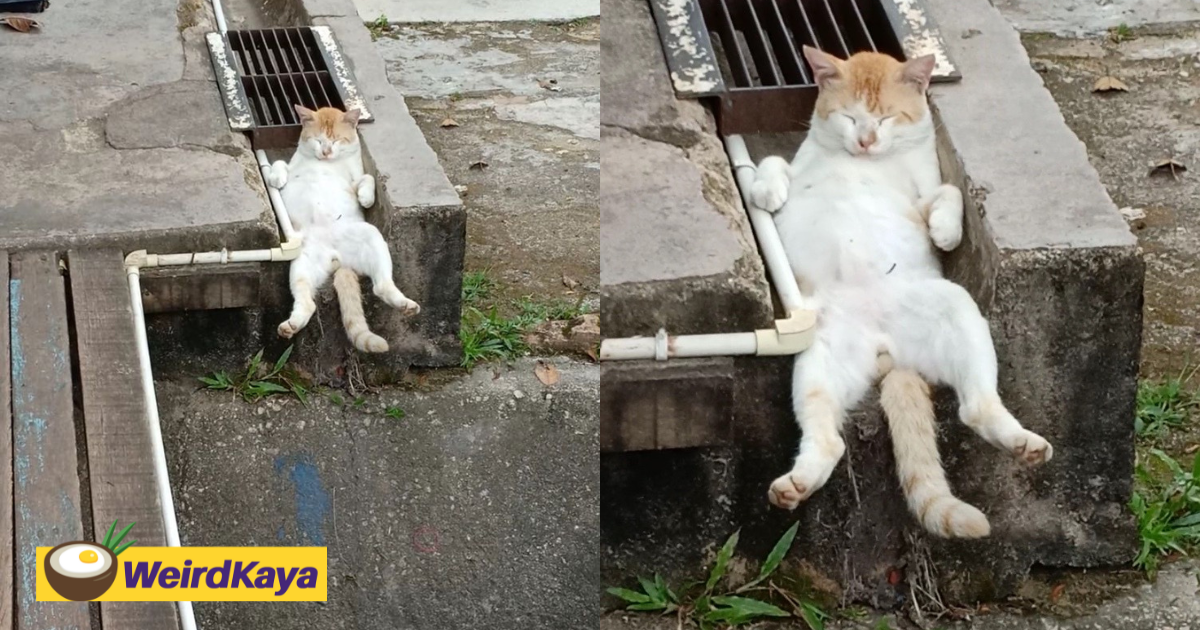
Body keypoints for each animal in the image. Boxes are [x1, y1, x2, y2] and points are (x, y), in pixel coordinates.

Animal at [265, 105, 420, 350]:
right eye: (318, 140)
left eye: (337, 140)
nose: (327, 152)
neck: (325, 163)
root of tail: (339, 262)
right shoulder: (290, 164)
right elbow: (279, 164)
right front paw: (276, 178)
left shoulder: (355, 179)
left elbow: (368, 178)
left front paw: (366, 198)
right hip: (301, 266)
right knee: (307, 302)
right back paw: (291, 326)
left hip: (370, 235)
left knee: (382, 285)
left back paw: (405, 304)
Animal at [748, 46, 1051, 537]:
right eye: (850, 117)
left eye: (888, 118)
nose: (867, 141)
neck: (866, 162)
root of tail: (890, 354)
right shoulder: (795, 169)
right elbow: (773, 162)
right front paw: (766, 190)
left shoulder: (923, 194)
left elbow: (949, 193)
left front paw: (947, 232)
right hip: (818, 363)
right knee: (828, 440)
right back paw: (795, 485)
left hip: (955, 307)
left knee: (978, 406)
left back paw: (1023, 443)